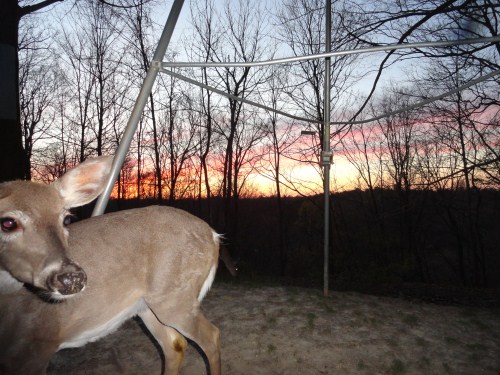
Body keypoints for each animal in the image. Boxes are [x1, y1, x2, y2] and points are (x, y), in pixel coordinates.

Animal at [0, 156, 221, 375]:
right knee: (174, 344)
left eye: (66, 219)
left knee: (211, 336)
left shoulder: (39, 342)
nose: (71, 278)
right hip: (147, 306)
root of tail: (213, 235)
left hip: (175, 297)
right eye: (8, 223)